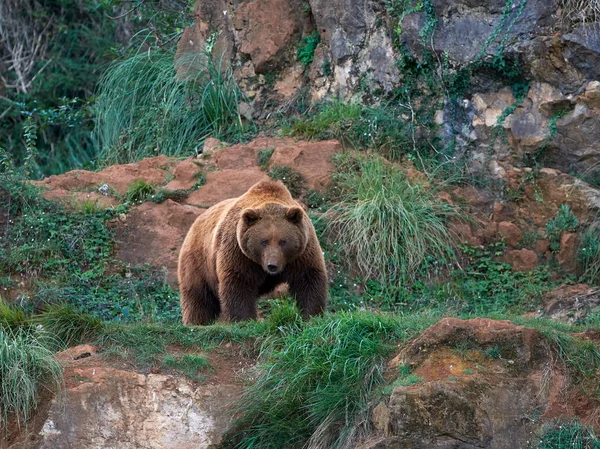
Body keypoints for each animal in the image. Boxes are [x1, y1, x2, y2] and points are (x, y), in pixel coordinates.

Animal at [178, 177, 328, 324]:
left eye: (283, 241)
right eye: (264, 241)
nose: (272, 265)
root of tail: (196, 222)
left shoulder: (302, 253)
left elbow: (308, 279)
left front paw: (311, 315)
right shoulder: (239, 252)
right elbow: (238, 282)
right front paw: (243, 319)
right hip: (198, 260)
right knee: (198, 295)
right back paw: (197, 321)